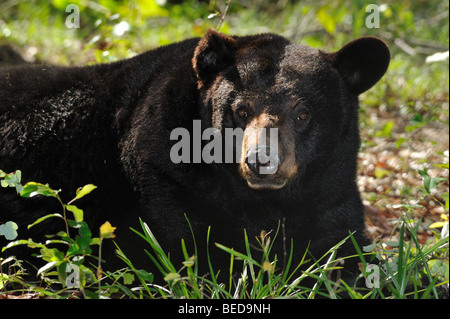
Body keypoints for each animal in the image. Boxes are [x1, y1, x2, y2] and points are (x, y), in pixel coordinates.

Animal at [0, 29, 388, 284]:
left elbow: (346, 249)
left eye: (303, 113)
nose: (261, 161)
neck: (264, 201)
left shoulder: (331, 192)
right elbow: (190, 251)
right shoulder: (165, 179)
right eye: (241, 110)